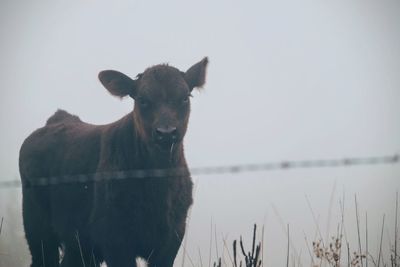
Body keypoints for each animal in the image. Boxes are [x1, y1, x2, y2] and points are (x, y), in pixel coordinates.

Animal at [18, 57, 209, 266]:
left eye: (185, 98)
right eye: (142, 100)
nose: (166, 133)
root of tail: (59, 118)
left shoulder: (172, 238)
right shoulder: (114, 238)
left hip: (81, 244)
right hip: (38, 228)